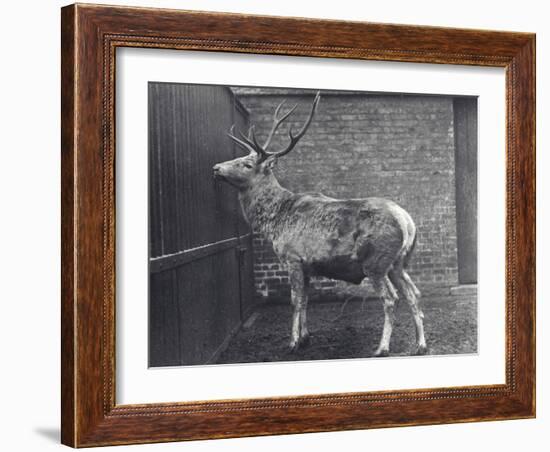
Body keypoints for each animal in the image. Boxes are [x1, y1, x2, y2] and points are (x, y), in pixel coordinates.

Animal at [213, 92, 430, 356]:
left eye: (246, 164)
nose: (216, 168)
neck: (274, 222)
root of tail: (407, 222)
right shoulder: (307, 266)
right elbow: (305, 299)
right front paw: (306, 338)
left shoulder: (293, 258)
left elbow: (295, 300)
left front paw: (293, 342)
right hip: (399, 262)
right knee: (414, 293)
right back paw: (420, 345)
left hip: (375, 262)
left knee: (391, 298)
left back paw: (382, 348)